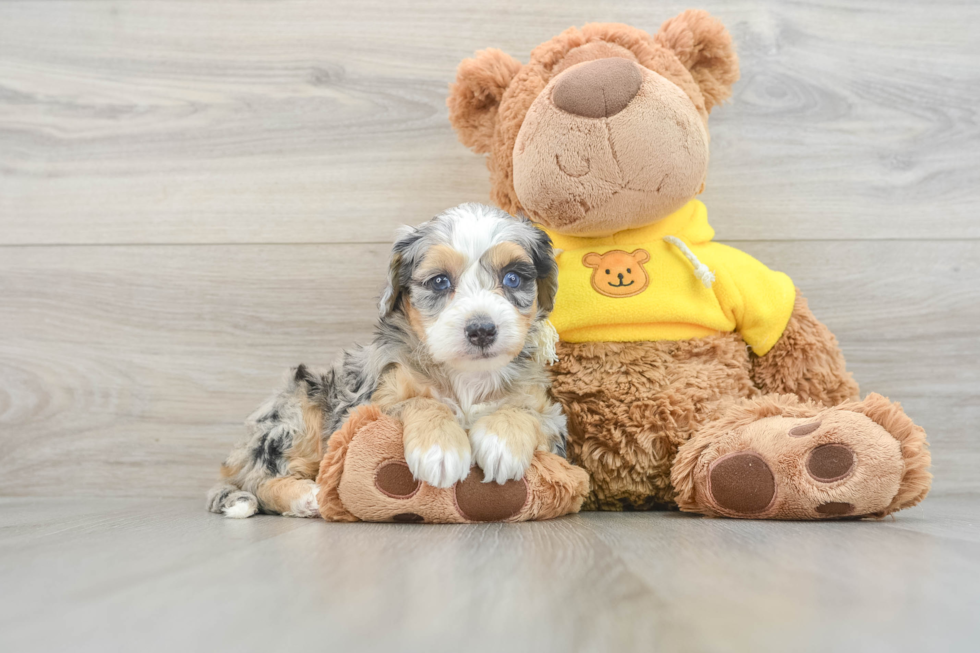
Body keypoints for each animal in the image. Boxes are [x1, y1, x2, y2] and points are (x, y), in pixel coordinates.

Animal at [211, 201, 572, 516]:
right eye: (439, 281)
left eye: (512, 277)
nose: (481, 329)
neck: (466, 377)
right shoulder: (366, 407)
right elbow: (423, 402)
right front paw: (439, 449)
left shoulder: (553, 421)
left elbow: (523, 410)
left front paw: (501, 443)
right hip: (299, 411)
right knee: (260, 480)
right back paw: (307, 496)